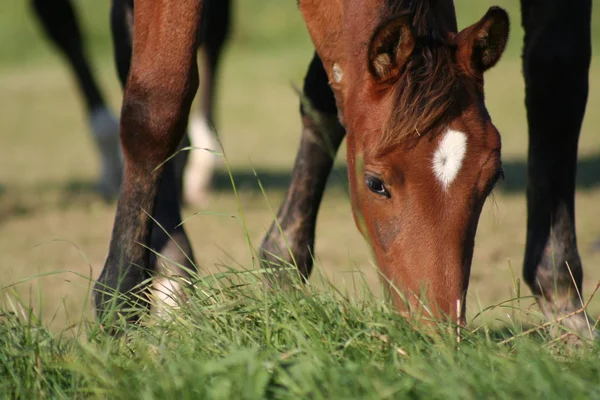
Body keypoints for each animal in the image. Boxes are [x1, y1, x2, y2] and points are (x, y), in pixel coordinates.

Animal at [94, 0, 596, 338]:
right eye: (375, 184)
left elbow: (329, 97)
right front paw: (117, 305)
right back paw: (170, 276)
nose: (434, 329)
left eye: (490, 181)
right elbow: (160, 102)